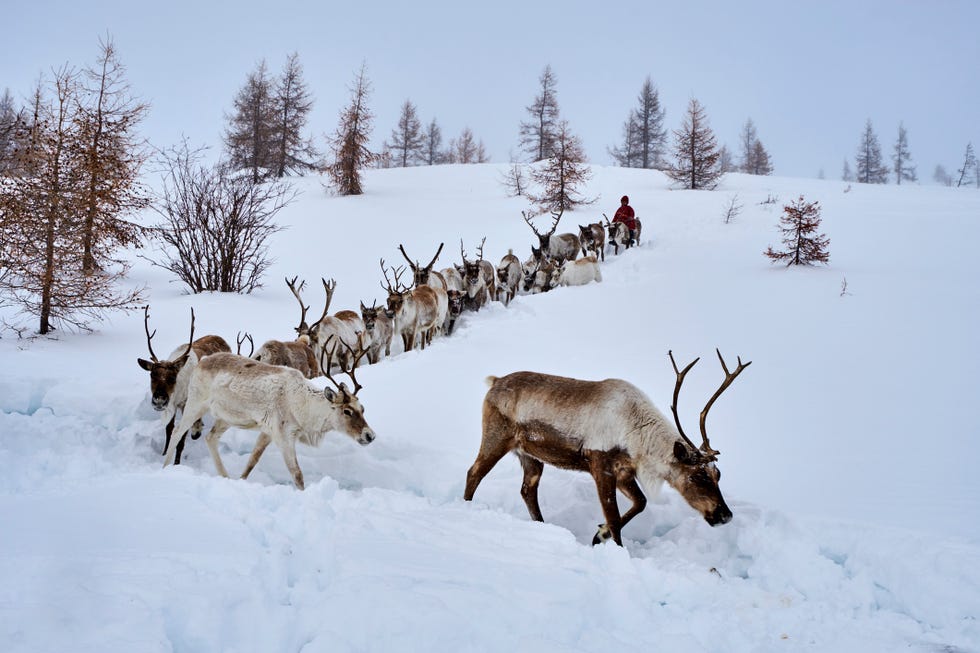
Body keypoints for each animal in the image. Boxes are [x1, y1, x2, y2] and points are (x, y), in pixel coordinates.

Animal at [137, 306, 230, 465]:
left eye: (172, 377)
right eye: (152, 375)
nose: (159, 400)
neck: (178, 393)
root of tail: (222, 339)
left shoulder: (186, 404)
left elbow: (181, 439)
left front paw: (176, 463)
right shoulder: (173, 405)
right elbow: (169, 430)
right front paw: (164, 453)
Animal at [163, 338, 375, 490]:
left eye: (362, 408)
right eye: (347, 411)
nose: (370, 435)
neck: (303, 410)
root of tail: (202, 361)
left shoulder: (267, 432)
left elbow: (252, 460)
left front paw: (241, 479)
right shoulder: (283, 436)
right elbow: (297, 474)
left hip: (226, 417)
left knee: (210, 437)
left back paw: (225, 476)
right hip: (196, 403)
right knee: (177, 431)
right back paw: (164, 468)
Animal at [464, 350, 750, 546]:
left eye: (718, 474)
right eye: (697, 476)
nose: (725, 515)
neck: (637, 435)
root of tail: (494, 382)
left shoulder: (624, 471)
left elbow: (641, 502)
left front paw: (599, 534)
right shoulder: (600, 465)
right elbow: (614, 517)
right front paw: (614, 546)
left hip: (530, 455)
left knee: (527, 490)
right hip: (496, 438)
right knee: (474, 472)